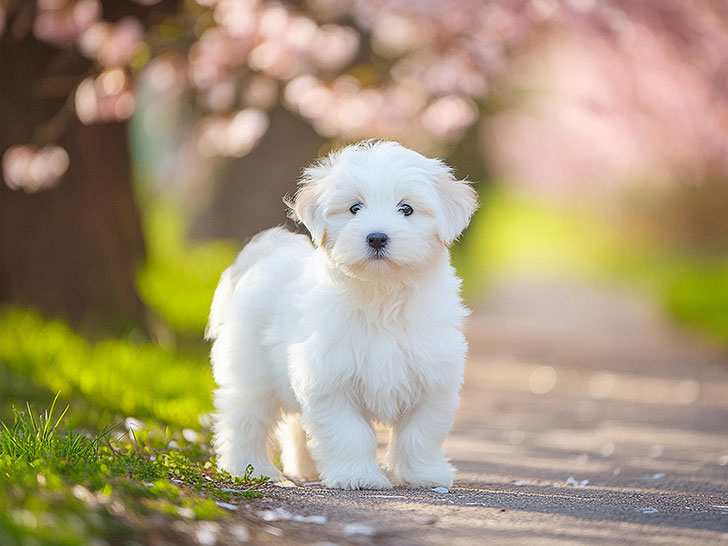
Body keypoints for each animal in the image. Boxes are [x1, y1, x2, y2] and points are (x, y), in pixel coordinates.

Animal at [206, 140, 478, 488]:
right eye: (354, 208)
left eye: (407, 209)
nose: (377, 237)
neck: (381, 295)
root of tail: (265, 254)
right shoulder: (330, 380)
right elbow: (350, 433)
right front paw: (358, 476)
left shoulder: (433, 378)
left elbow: (421, 433)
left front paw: (424, 474)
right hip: (251, 372)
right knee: (244, 420)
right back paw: (248, 468)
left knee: (295, 428)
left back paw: (306, 469)